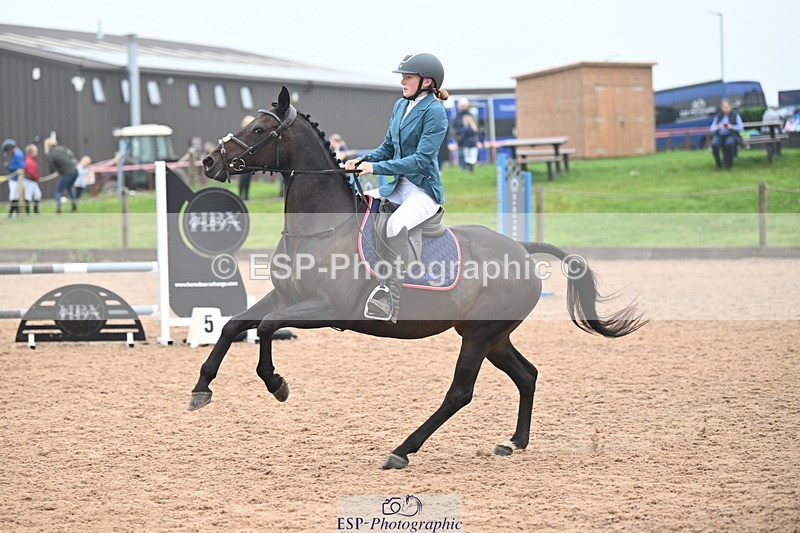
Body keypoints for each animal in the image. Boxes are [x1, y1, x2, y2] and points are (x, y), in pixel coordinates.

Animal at [191, 86, 645, 469]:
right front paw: (202, 389)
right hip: (493, 336)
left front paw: (277, 383)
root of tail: (520, 249)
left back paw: (402, 450)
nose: (210, 161)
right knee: (527, 375)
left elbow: (267, 328)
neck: (322, 227)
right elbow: (234, 324)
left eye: (259, 129)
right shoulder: (286, 297)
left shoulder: (324, 308)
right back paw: (513, 442)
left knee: (460, 392)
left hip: (479, 335)